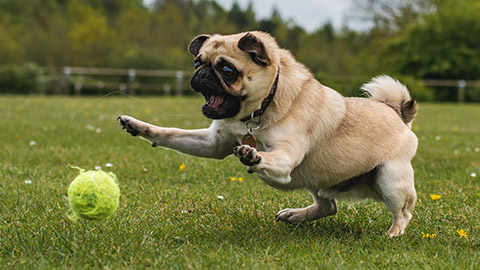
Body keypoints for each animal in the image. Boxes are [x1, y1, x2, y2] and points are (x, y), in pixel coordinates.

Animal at [118, 31, 418, 237]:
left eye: (227, 70)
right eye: (197, 63)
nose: (201, 75)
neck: (259, 110)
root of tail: (397, 113)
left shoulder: (285, 157)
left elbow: (268, 157)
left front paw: (253, 156)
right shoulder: (213, 143)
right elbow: (171, 133)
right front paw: (139, 126)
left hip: (390, 179)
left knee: (403, 213)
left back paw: (393, 234)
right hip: (317, 179)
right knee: (328, 206)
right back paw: (295, 215)